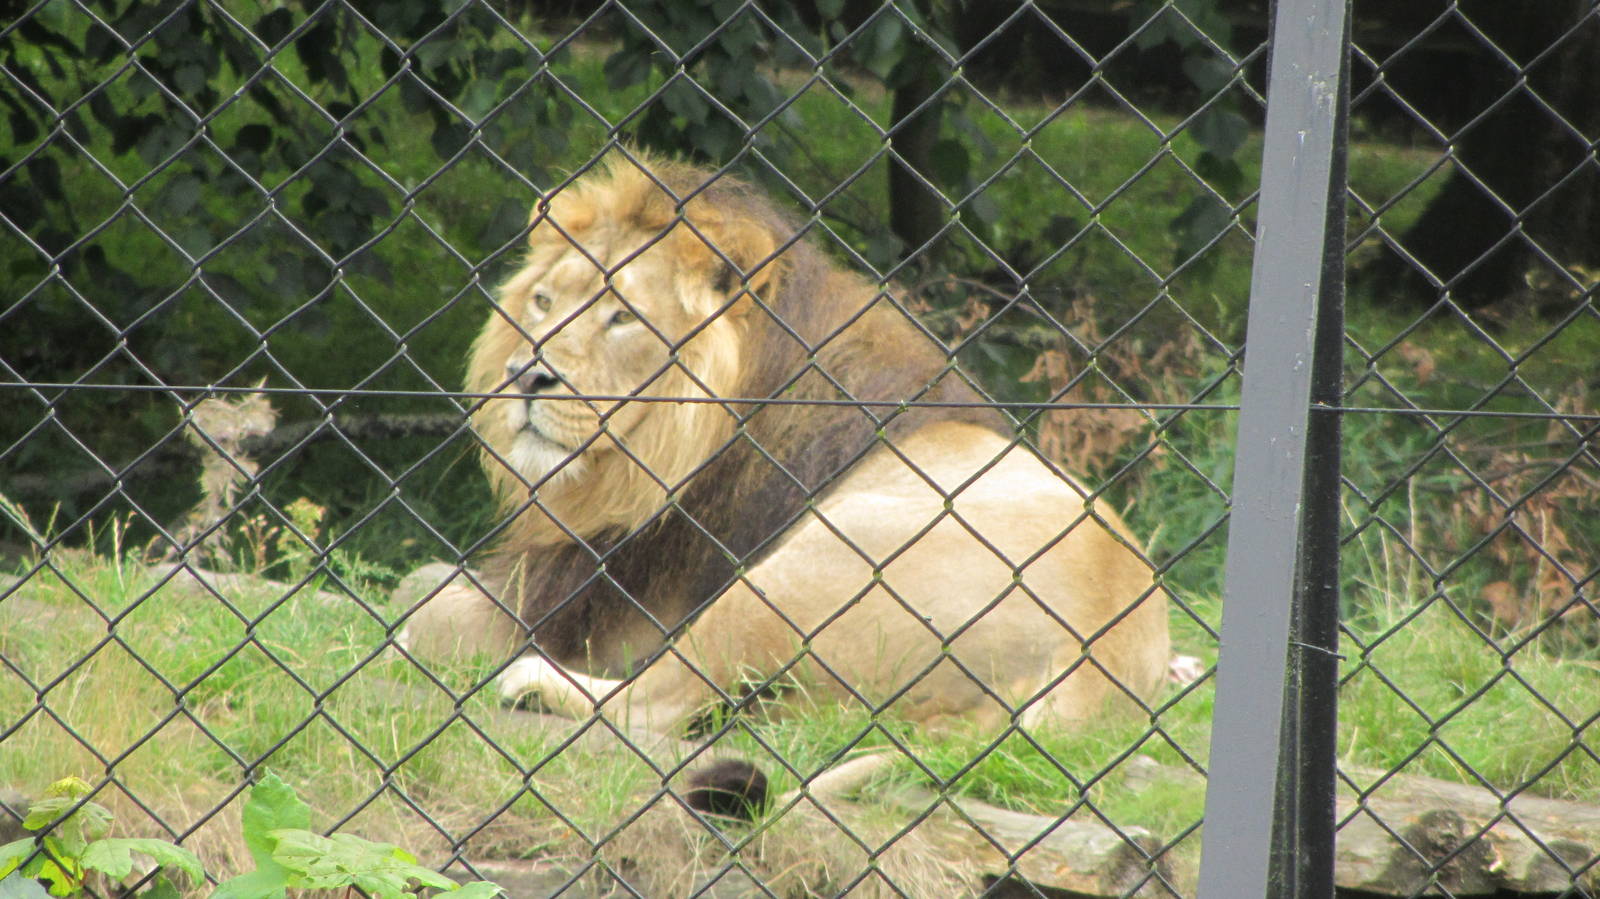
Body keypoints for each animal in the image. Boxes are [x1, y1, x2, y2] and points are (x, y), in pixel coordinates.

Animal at [398, 150, 1169, 734]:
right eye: (543, 302)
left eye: (621, 317)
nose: (526, 374)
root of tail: (1096, 666)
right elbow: (423, 581)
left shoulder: (609, 606)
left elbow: (431, 612)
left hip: (801, 572)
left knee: (656, 703)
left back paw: (534, 682)